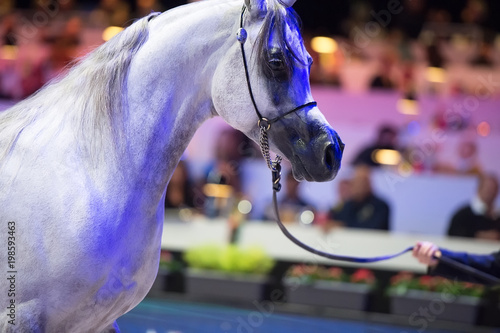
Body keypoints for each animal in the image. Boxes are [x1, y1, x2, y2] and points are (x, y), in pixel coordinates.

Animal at [0, 0, 344, 330]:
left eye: (310, 62)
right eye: (276, 62)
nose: (332, 152)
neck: (89, 174)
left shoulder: (101, 322)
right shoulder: (22, 318)